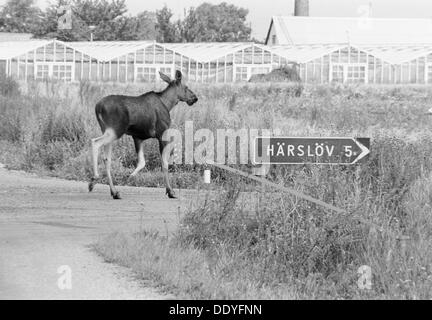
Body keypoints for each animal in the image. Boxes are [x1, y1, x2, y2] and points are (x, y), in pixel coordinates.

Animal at [88, 71, 199, 199]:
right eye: (186, 87)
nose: (195, 98)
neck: (168, 104)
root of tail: (98, 107)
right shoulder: (161, 134)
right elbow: (164, 163)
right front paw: (170, 191)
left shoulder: (138, 137)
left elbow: (142, 162)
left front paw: (129, 177)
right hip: (115, 130)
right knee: (95, 142)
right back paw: (95, 178)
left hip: (107, 131)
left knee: (107, 158)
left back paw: (114, 191)